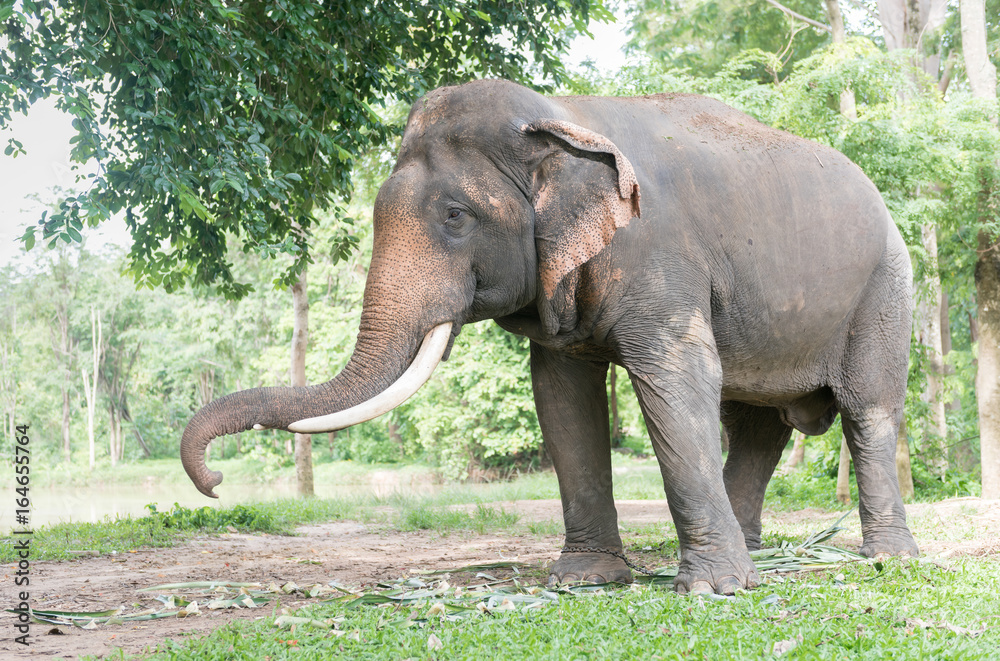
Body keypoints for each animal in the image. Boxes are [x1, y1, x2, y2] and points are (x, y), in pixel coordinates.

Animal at [181, 78, 919, 595]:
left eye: (455, 216)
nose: (215, 481)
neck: (558, 118)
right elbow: (561, 398)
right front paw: (586, 578)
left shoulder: (661, 259)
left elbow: (676, 382)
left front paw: (711, 591)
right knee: (757, 425)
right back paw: (756, 550)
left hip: (885, 289)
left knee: (868, 409)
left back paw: (886, 557)